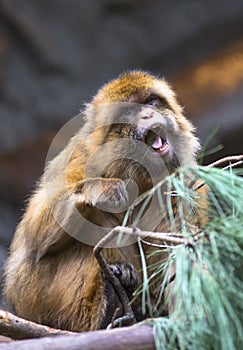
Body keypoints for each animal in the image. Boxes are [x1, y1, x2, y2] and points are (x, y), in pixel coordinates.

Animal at [3, 70, 200, 330]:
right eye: (129, 112)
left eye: (150, 102)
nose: (148, 114)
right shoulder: (83, 155)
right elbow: (34, 235)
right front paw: (101, 190)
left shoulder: (181, 182)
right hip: (34, 293)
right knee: (96, 218)